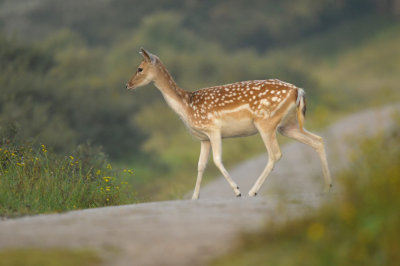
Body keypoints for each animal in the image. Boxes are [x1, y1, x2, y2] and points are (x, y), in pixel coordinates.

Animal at [125, 48, 332, 200]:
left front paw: (237, 190)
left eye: (139, 68)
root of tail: (298, 90)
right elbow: (200, 165)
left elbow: (217, 160)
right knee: (318, 140)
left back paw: (252, 191)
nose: (127, 85)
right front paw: (194, 197)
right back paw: (327, 186)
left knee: (275, 154)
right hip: (287, 125)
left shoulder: (213, 129)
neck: (187, 106)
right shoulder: (203, 138)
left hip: (266, 122)